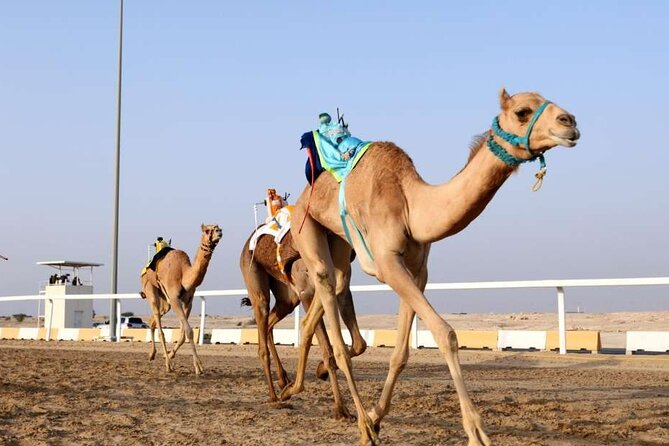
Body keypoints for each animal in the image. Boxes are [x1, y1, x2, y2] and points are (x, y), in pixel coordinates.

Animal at [140, 224, 223, 375]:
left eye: (218, 227)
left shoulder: (187, 301)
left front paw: (171, 355)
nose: (219, 232)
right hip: (150, 289)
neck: (184, 274)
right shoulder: (174, 299)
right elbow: (189, 331)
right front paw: (198, 367)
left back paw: (153, 354)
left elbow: (184, 333)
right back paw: (168, 365)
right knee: (159, 326)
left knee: (152, 321)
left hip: (165, 302)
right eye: (207, 230)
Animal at [240, 229, 367, 418]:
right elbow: (327, 349)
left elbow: (359, 344)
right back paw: (274, 396)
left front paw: (322, 373)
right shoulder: (306, 292)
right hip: (256, 279)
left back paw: (283, 380)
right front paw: (340, 408)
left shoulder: (341, 288)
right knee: (262, 335)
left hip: (287, 299)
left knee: (270, 324)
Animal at [280, 89, 580, 445]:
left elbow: (401, 354)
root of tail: (303, 194)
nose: (570, 122)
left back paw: (295, 388)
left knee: (329, 293)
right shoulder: (387, 263)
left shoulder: (417, 270)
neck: (412, 205)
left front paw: (377, 416)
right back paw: (358, 423)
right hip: (306, 226)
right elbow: (445, 333)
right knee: (330, 305)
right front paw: (477, 432)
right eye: (522, 111)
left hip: (339, 243)